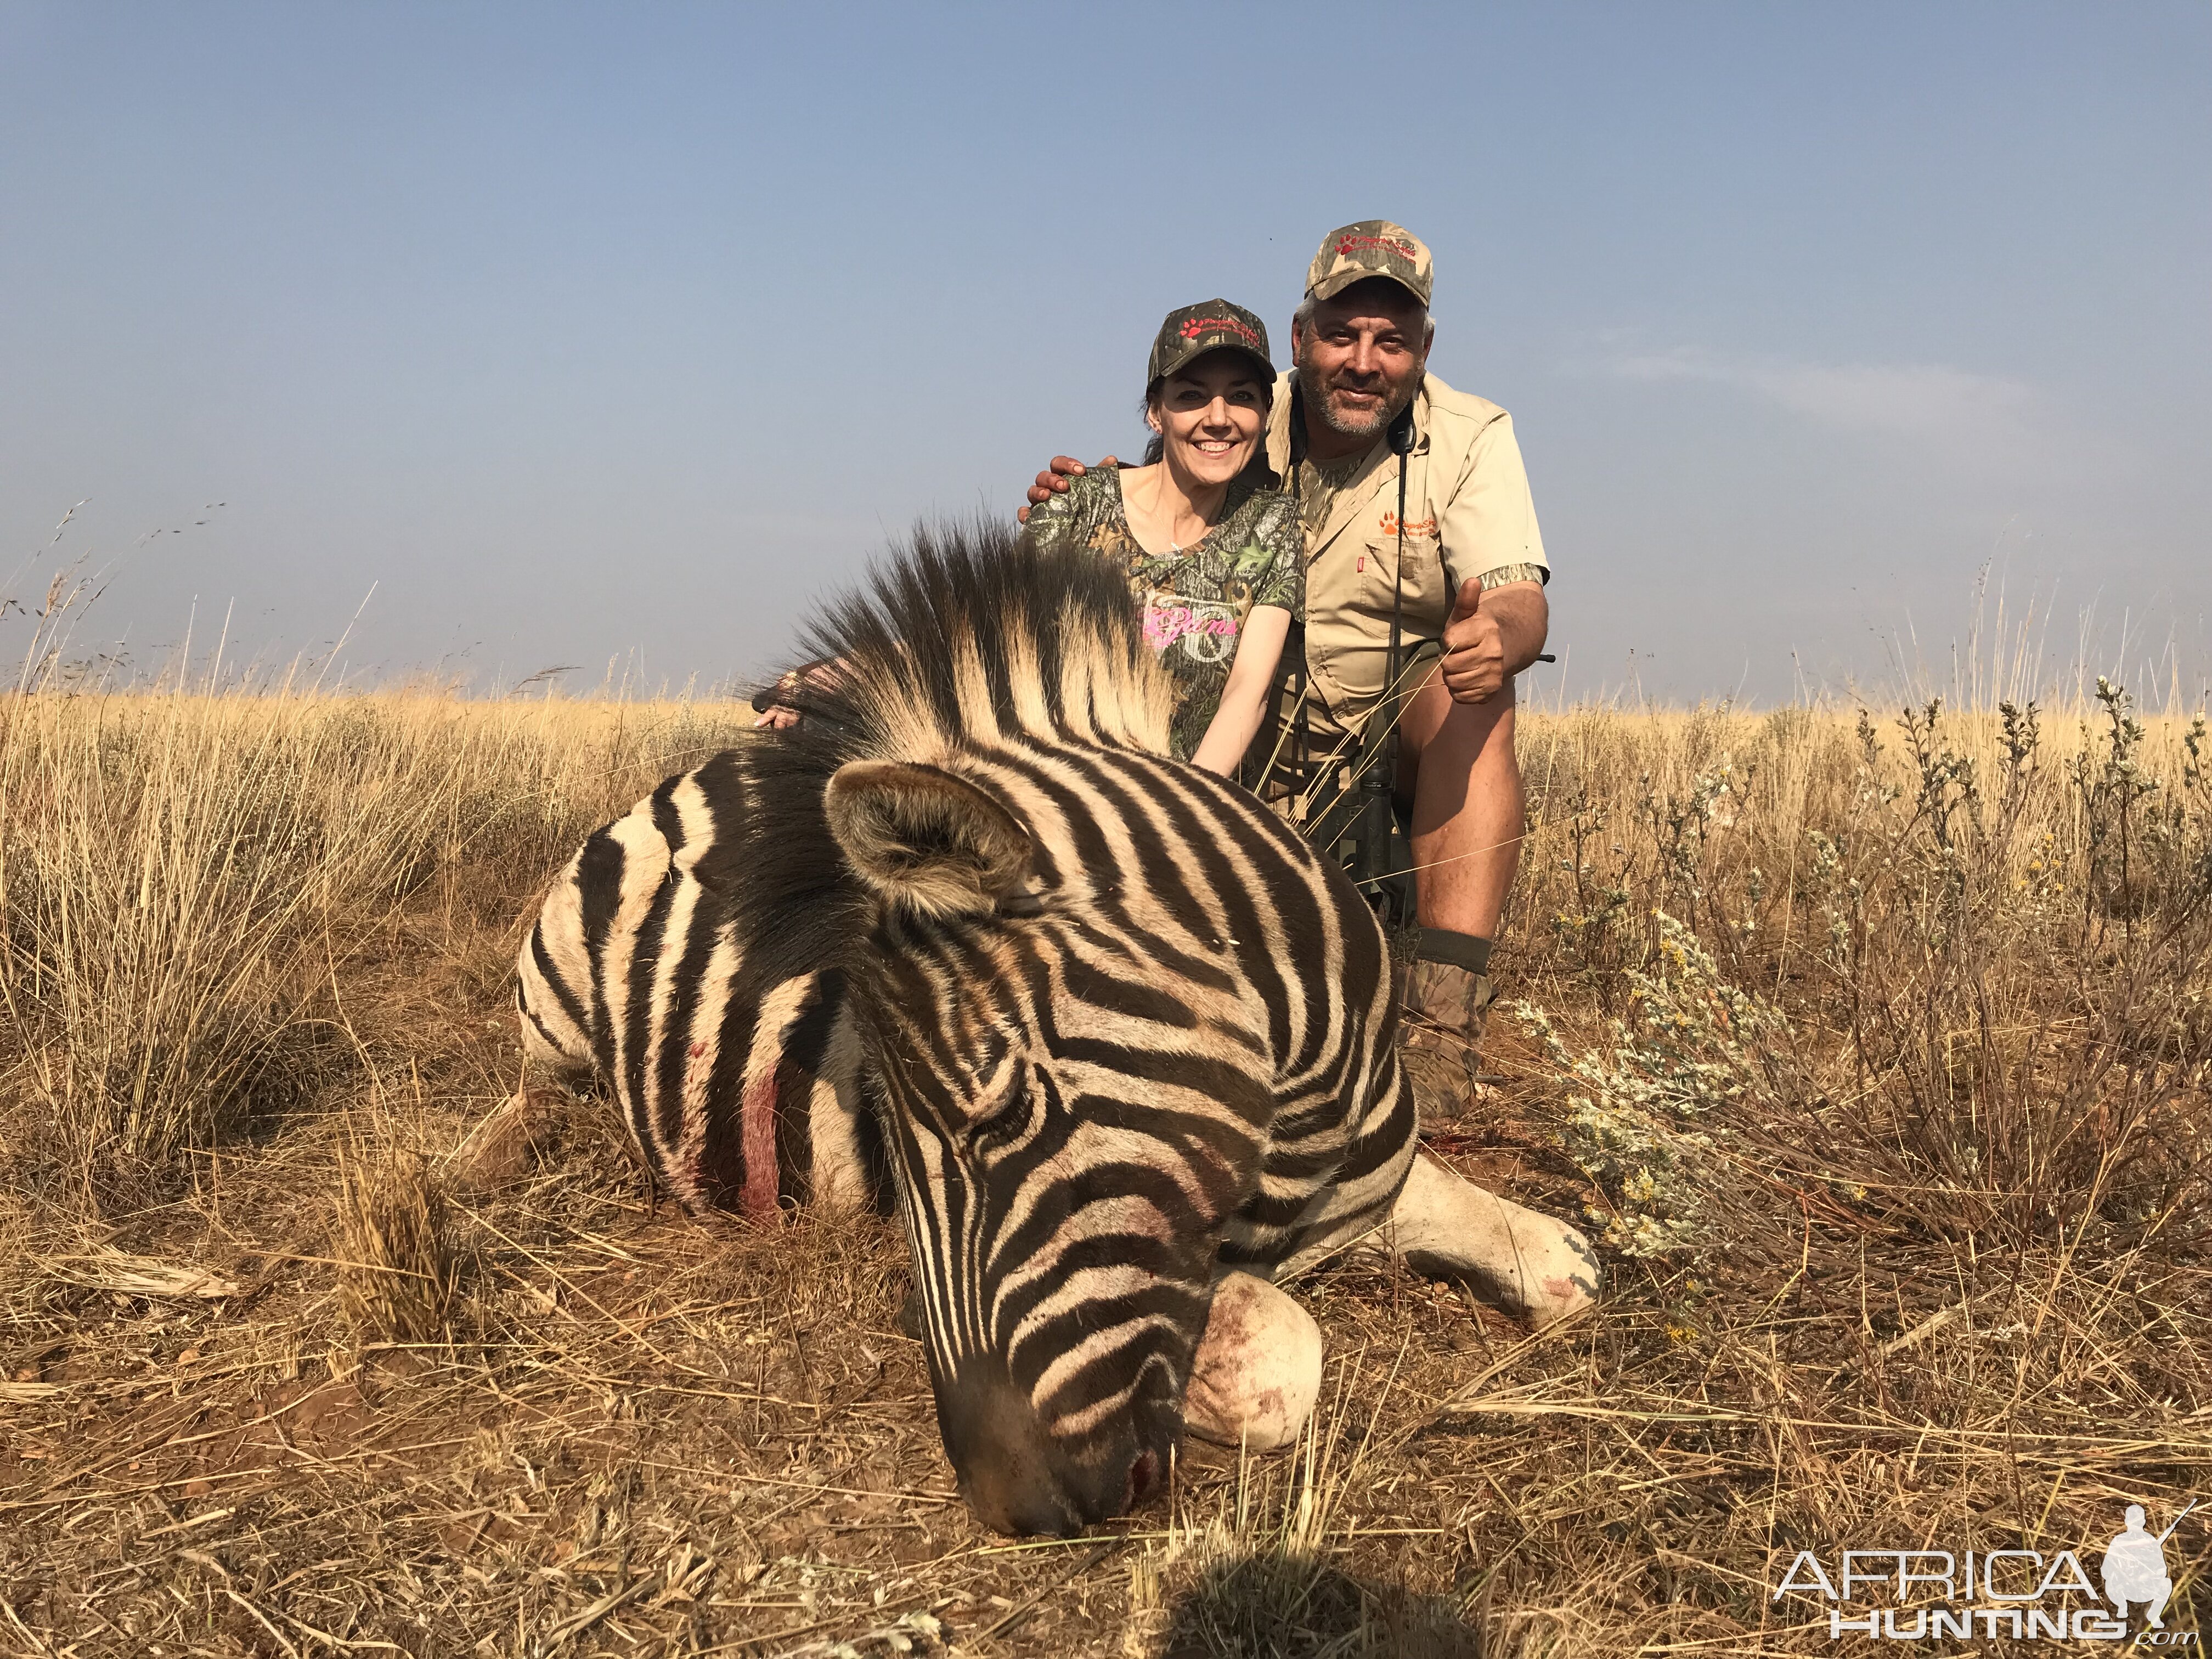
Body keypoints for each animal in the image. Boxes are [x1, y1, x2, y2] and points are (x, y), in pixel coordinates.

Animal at [511, 526, 1601, 1539]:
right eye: (888, 1144)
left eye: (1000, 1114)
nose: (1013, 1506)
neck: (1304, 1110)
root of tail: (692, 780)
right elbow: (1278, 1359)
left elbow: (1550, 1253)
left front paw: (1548, 1249)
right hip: (551, 1012)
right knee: (533, 1092)